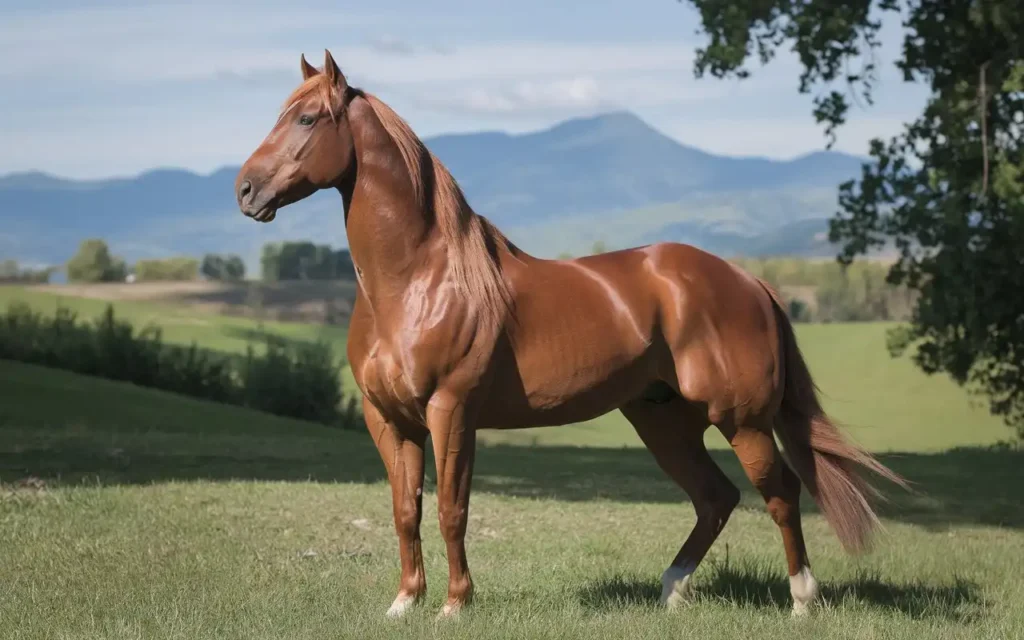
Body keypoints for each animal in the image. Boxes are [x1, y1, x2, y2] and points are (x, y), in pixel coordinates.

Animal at [235, 48, 909, 618]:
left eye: (308, 118)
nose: (245, 190)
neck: (416, 282)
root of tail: (748, 281)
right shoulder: (387, 418)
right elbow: (406, 510)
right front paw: (404, 603)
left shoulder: (451, 411)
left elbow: (452, 508)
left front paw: (455, 605)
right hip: (664, 421)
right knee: (715, 497)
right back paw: (672, 592)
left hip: (740, 419)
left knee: (781, 494)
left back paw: (801, 600)